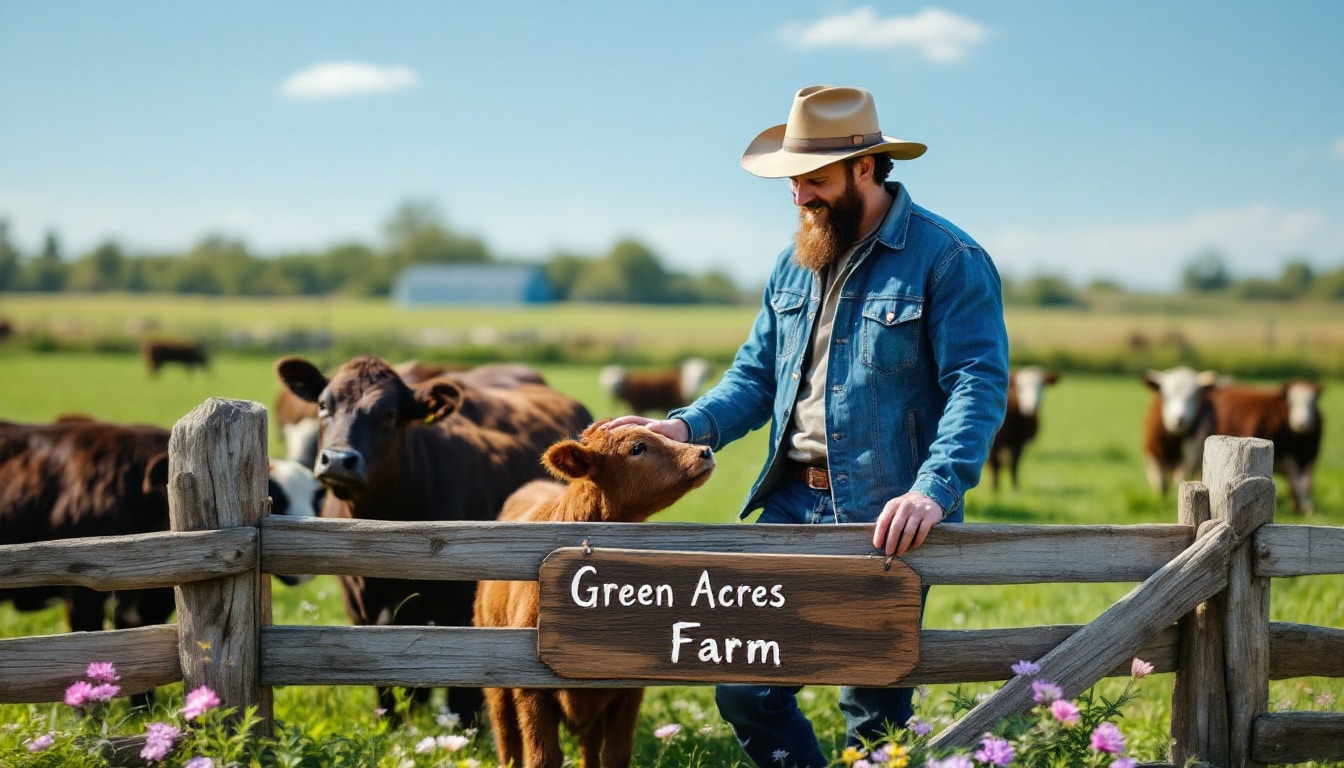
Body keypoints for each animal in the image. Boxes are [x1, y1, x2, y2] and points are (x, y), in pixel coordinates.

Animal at [274, 357, 594, 726]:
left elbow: (463, 696)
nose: (339, 460)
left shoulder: (461, 608)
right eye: (324, 405)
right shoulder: (363, 609)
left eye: (389, 414)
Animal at [478, 419, 720, 768]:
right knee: (507, 739)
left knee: (590, 748)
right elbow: (542, 755)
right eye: (637, 448)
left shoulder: (628, 691)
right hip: (496, 679)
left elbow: (615, 753)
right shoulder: (531, 689)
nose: (705, 451)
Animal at [1145, 368, 1220, 497]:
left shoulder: (1188, 461)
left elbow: (1179, 482)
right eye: (1167, 396)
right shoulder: (1153, 457)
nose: (1179, 419)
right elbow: (1161, 486)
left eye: (1194, 396)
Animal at [1209, 379, 1322, 513]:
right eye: (1291, 402)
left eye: (1313, 402)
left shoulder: (1309, 457)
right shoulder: (1290, 457)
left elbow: (1304, 482)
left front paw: (1306, 508)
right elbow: (1298, 482)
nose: (1302, 422)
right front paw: (1305, 508)